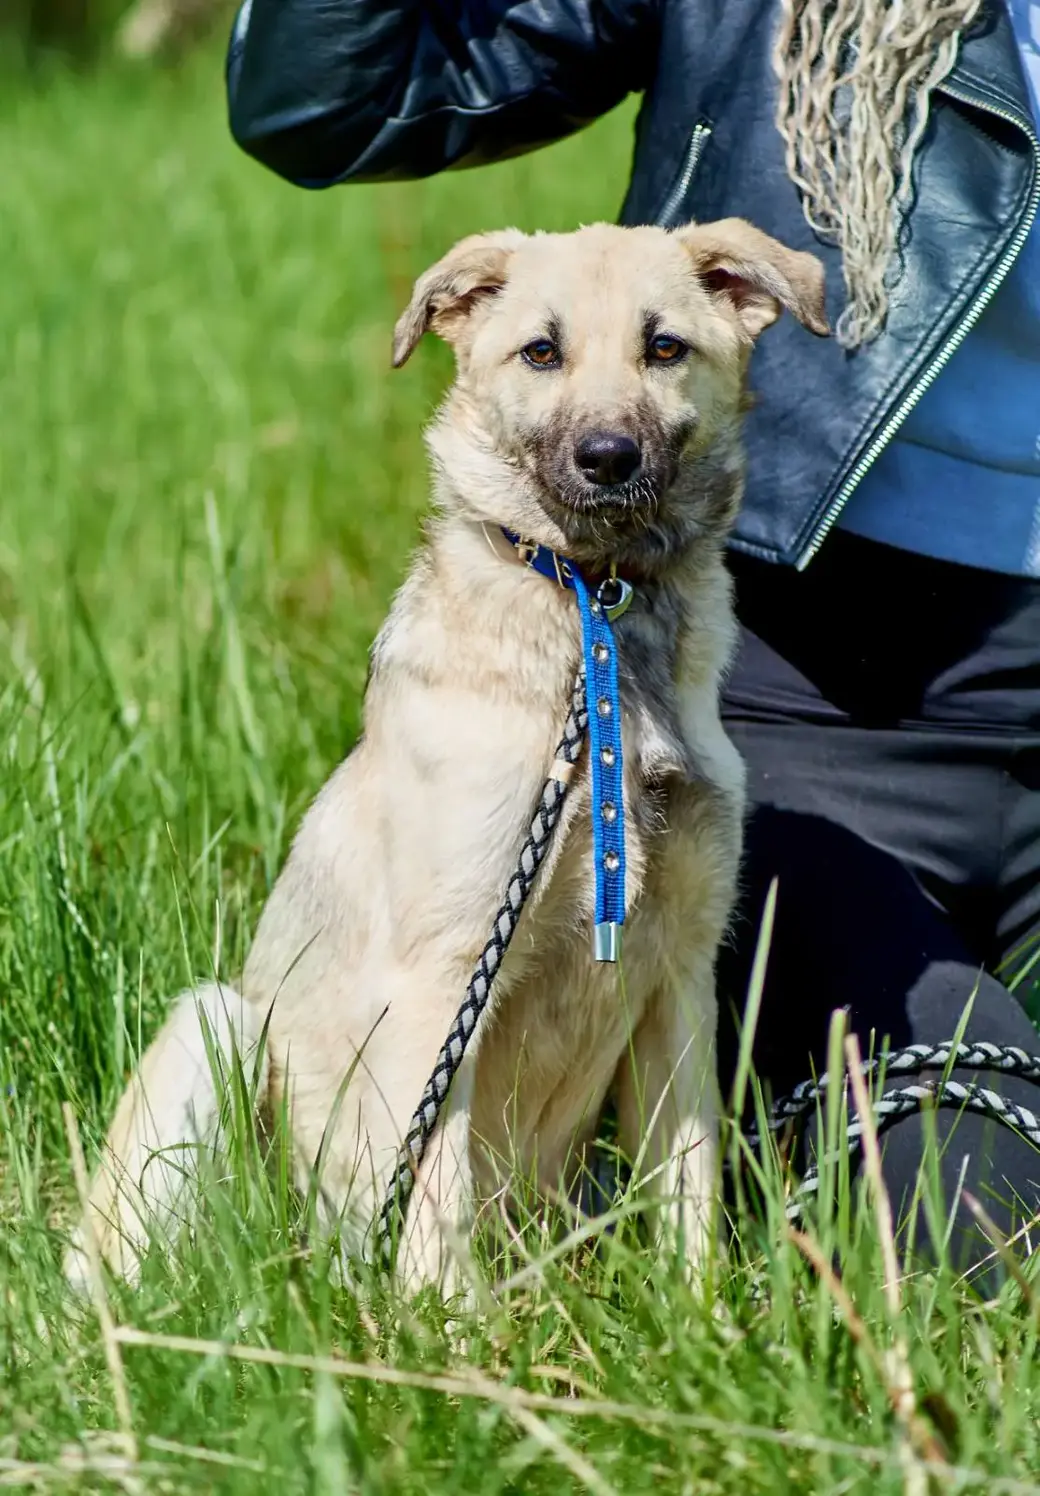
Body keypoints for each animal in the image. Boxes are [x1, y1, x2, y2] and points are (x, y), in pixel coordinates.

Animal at [66, 216, 832, 1304]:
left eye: (665, 347)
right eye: (541, 351)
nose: (608, 457)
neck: (595, 617)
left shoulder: (678, 976)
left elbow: (685, 1185)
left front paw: (700, 1317)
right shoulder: (444, 977)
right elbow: (434, 1199)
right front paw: (454, 1336)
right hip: (214, 1035)